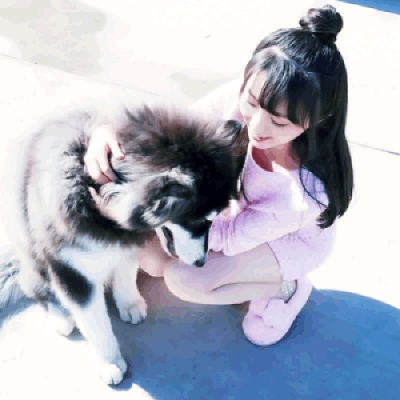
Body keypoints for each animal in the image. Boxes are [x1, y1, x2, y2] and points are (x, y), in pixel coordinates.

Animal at [0, 105, 244, 384]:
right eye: (200, 222)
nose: (201, 263)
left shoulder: (125, 244)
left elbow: (125, 273)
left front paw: (129, 303)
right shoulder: (70, 268)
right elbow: (95, 321)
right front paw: (109, 361)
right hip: (35, 258)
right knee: (36, 288)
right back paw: (61, 315)